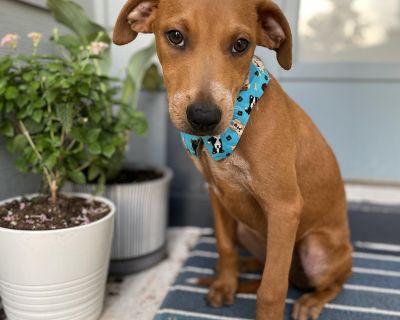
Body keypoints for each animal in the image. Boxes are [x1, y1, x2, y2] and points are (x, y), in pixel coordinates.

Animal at [111, 1, 350, 318]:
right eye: (175, 36)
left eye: (241, 44)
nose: (203, 117)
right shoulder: (218, 194)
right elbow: (225, 247)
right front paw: (226, 284)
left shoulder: (284, 208)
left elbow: (272, 289)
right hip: (247, 228)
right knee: (261, 260)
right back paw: (243, 267)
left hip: (317, 248)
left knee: (331, 281)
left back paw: (311, 301)